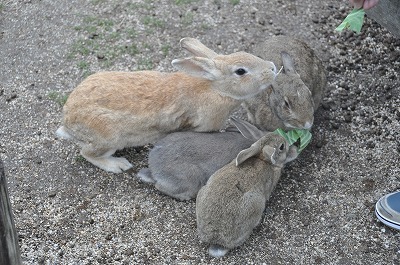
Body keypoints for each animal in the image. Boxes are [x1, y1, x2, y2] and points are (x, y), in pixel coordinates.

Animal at [56, 37, 276, 173]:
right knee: (87, 153)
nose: (273, 68)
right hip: (109, 138)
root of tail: (68, 123)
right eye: (241, 71)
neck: (215, 88)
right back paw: (118, 165)